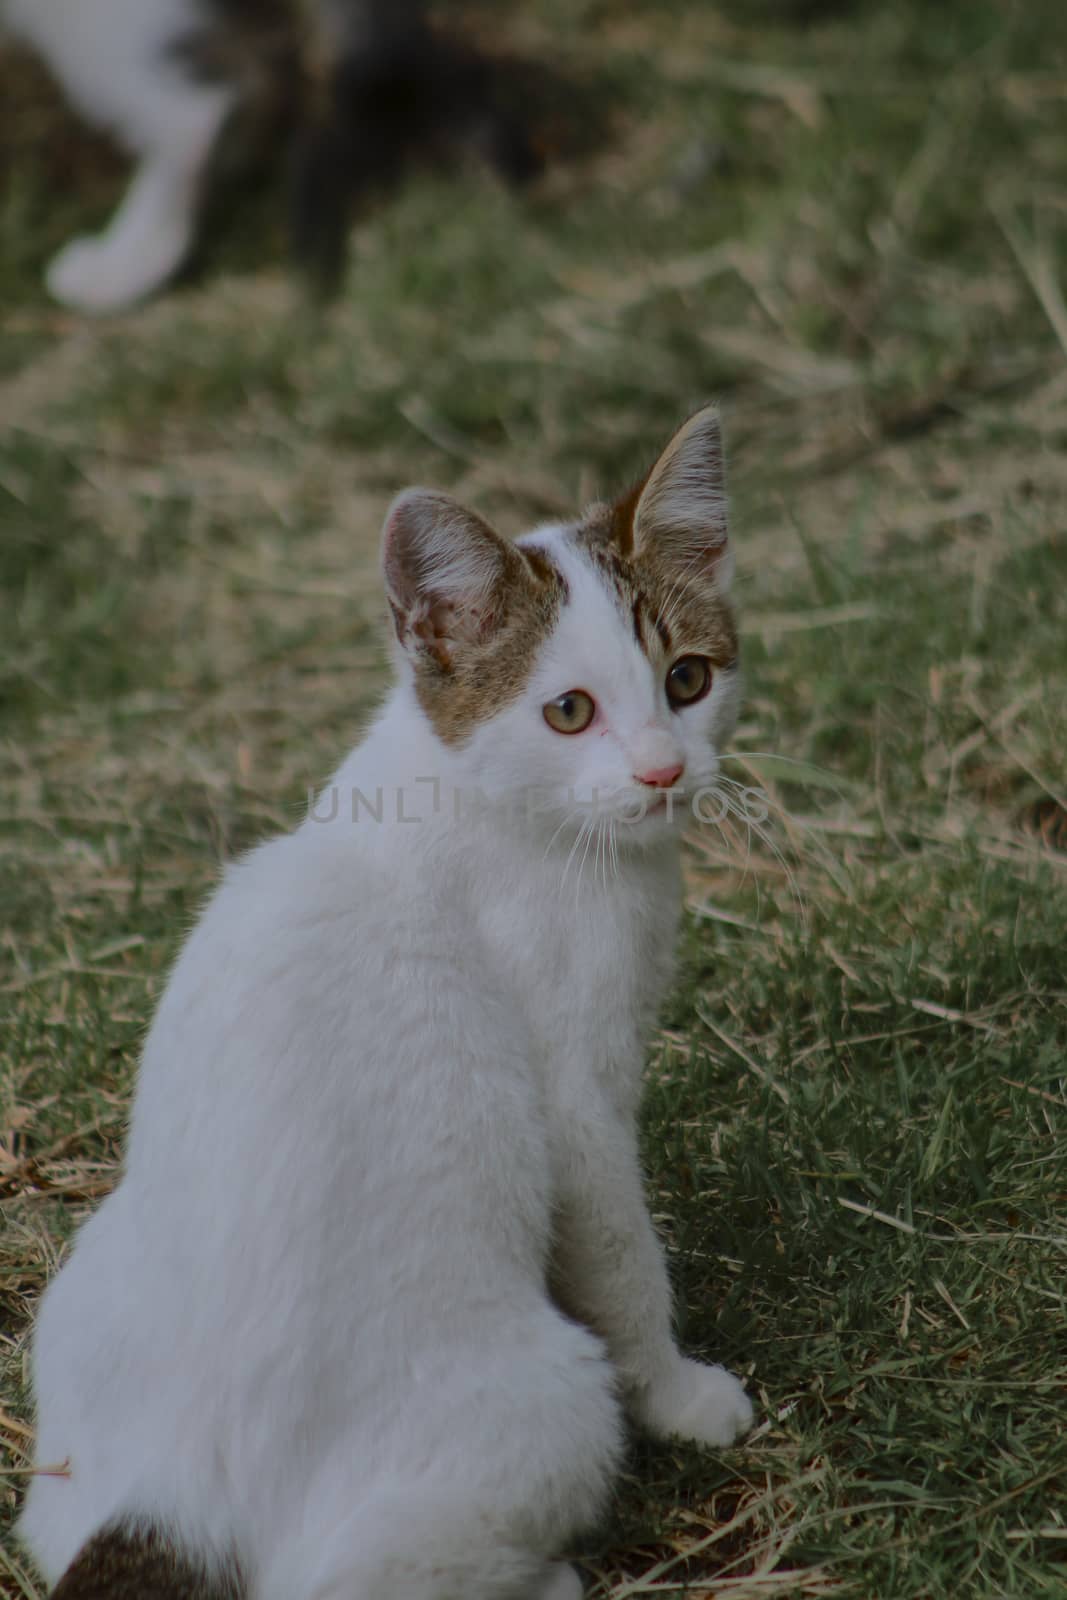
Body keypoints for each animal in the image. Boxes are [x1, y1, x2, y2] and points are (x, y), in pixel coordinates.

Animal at [16, 409, 751, 1600]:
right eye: (568, 710)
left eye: (687, 678)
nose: (661, 773)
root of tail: (167, 1498)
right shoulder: (574, 1102)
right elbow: (621, 1259)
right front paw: (679, 1394)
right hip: (545, 1400)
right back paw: (543, 1576)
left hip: (77, 1300)